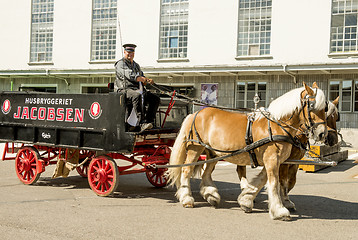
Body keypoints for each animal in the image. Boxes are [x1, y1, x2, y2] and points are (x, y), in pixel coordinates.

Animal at [168, 82, 328, 219]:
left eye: (325, 108)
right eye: (312, 105)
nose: (322, 134)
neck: (277, 125)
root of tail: (195, 114)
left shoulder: (274, 160)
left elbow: (262, 180)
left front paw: (246, 200)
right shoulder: (272, 160)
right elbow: (274, 183)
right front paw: (279, 210)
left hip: (213, 152)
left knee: (206, 173)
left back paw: (211, 195)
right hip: (195, 148)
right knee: (186, 170)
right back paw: (187, 198)